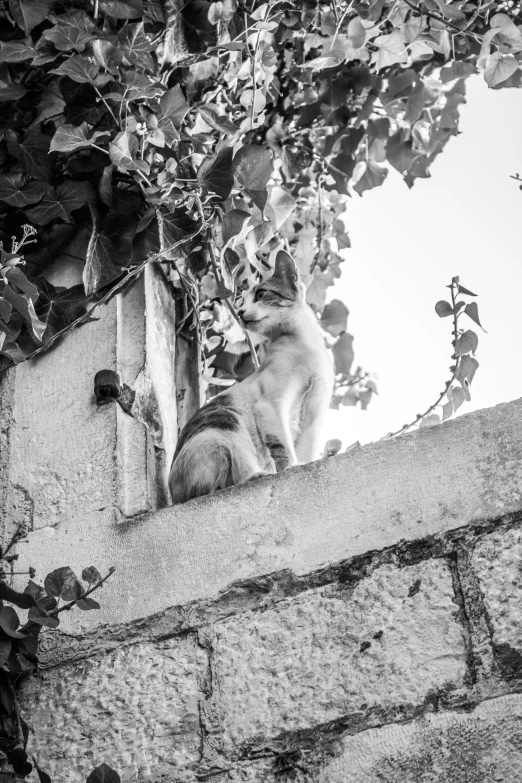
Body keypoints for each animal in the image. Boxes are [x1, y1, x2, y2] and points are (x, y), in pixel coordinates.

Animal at [169, 254, 336, 506]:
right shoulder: (270, 405)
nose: (239, 312)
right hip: (227, 422)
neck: (306, 347)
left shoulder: (313, 415)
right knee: (217, 483)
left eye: (261, 294)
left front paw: (305, 466)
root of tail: (172, 497)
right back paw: (258, 476)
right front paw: (291, 468)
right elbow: (283, 446)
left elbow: (306, 449)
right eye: (240, 303)